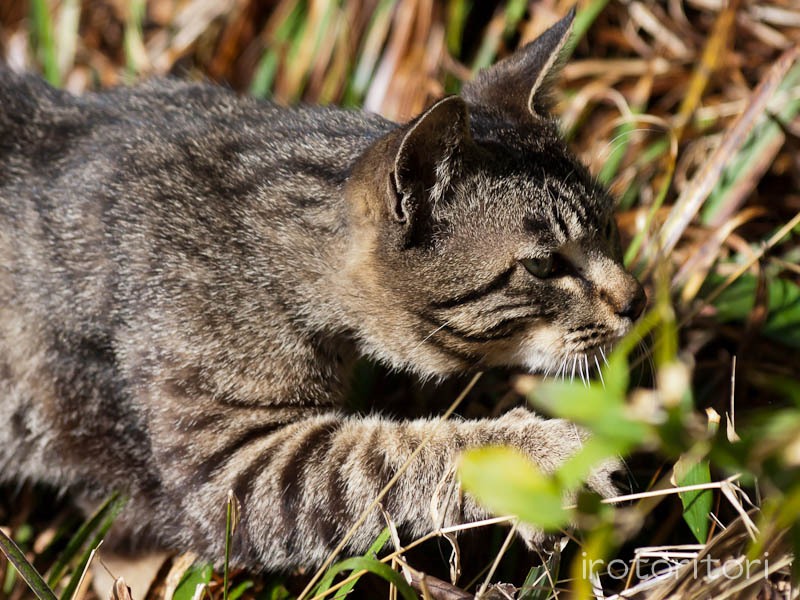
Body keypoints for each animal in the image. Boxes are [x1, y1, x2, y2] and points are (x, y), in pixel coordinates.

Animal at [0, 10, 644, 572]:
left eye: (610, 227)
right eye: (544, 266)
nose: (637, 301)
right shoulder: (228, 473)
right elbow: (384, 458)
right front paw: (545, 457)